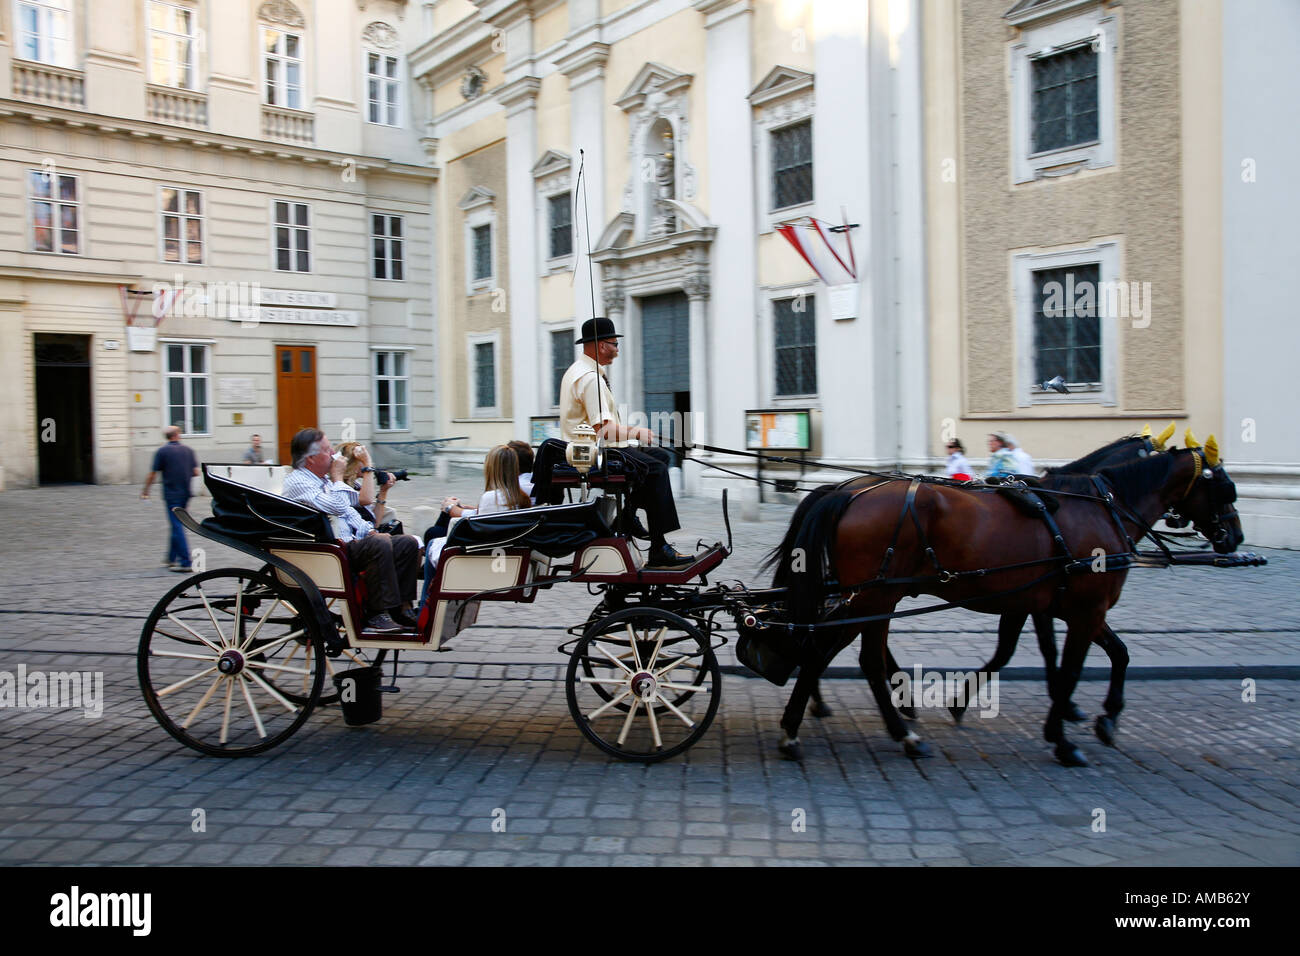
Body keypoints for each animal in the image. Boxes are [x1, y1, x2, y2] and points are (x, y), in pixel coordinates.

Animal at [764, 437, 1242, 764]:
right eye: (1224, 486)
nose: (1234, 537)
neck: (1097, 507)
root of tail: (847, 492)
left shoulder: (1050, 605)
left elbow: (1103, 653)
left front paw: (1103, 717)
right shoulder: (1083, 610)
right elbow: (1067, 668)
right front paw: (1064, 737)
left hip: (869, 597)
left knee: (831, 650)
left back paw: (816, 722)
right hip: (874, 597)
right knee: (853, 658)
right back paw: (887, 731)